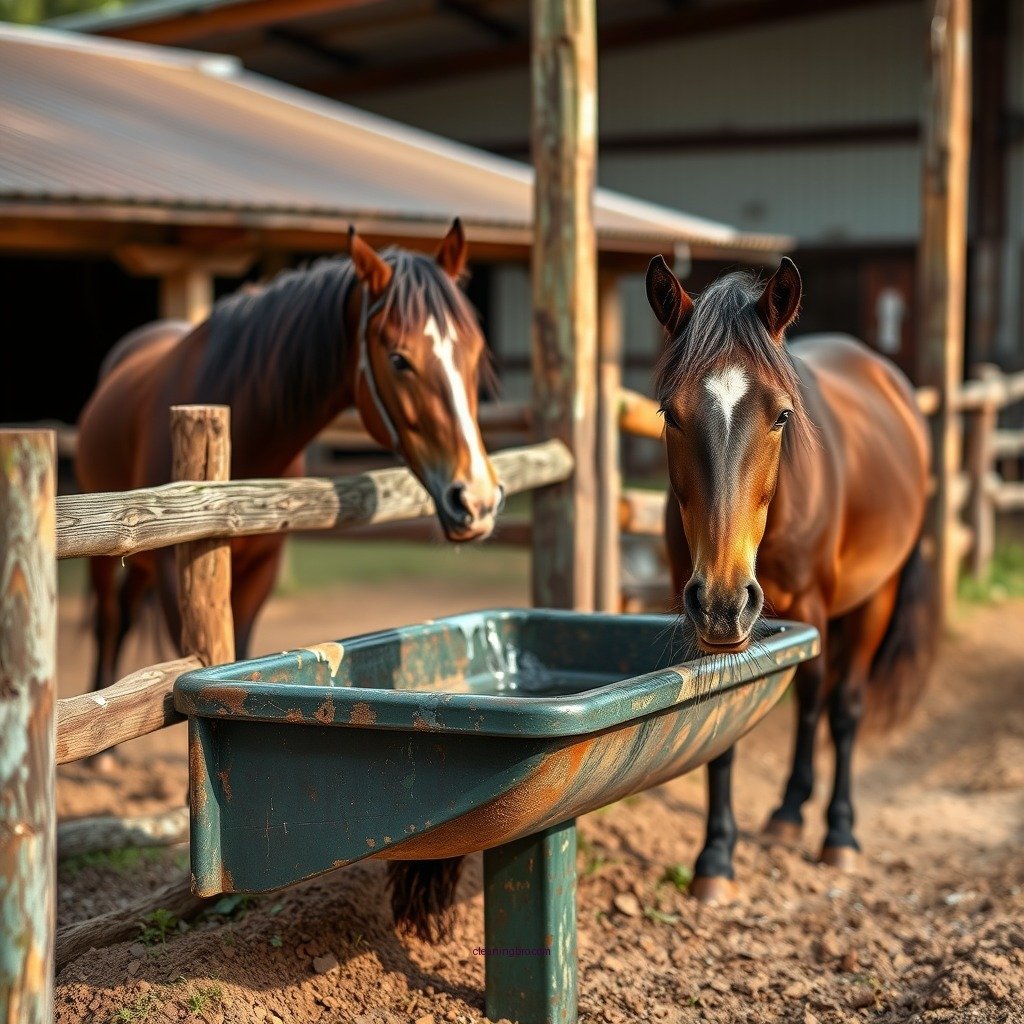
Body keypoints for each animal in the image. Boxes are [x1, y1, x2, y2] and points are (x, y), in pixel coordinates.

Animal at [75, 220, 502, 691]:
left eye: (476, 352)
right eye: (398, 359)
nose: (477, 500)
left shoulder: (260, 574)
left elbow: (240, 655)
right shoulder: (175, 578)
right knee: (110, 622)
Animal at [645, 254, 935, 901]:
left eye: (781, 415)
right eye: (670, 414)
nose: (724, 599)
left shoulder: (811, 606)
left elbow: (827, 701)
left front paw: (835, 833)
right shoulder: (706, 619)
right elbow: (720, 732)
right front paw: (715, 858)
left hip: (870, 598)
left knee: (836, 702)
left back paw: (831, 827)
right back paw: (788, 811)